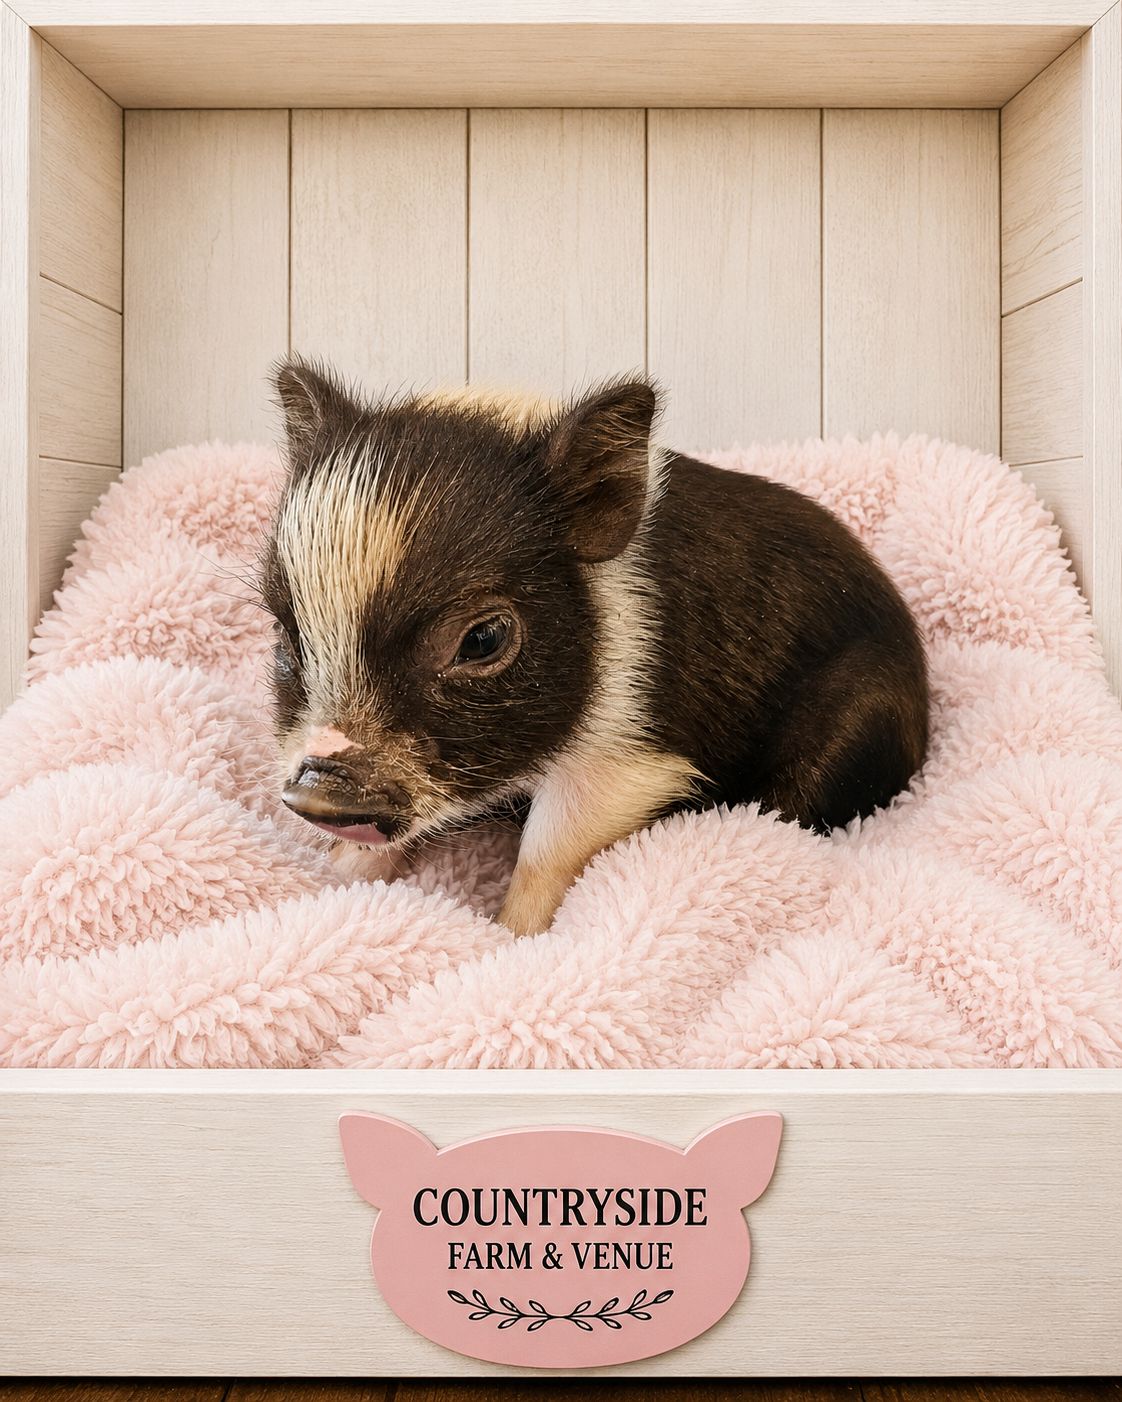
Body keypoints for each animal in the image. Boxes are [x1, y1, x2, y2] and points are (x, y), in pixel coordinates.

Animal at [260, 359, 928, 934]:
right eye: (286, 634)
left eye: (482, 638)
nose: (315, 793)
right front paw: (337, 877)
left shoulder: (628, 764)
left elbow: (549, 849)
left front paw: (512, 937)